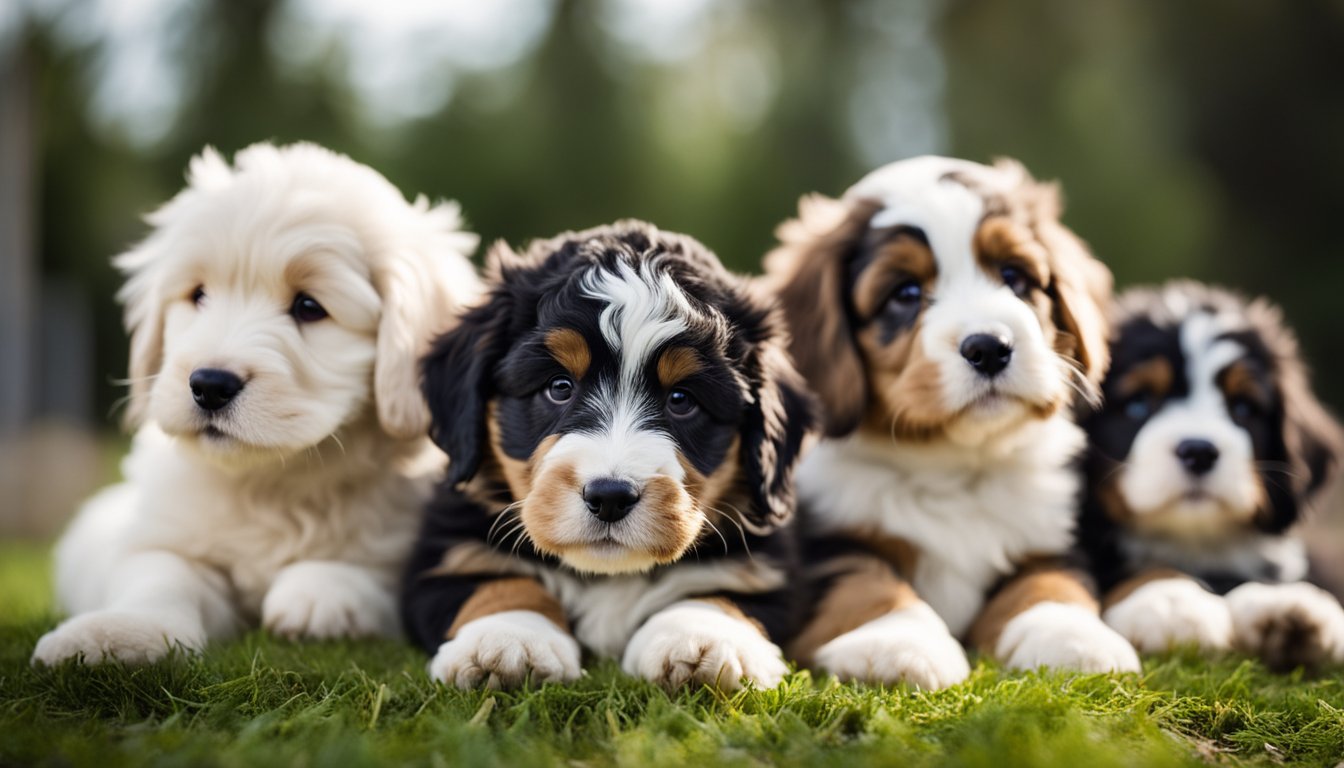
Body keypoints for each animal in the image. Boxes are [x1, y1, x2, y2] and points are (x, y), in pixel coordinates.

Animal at [28, 142, 483, 667]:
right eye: (199, 294)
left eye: (309, 307)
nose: (209, 385)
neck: (272, 482)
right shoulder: (165, 540)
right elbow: (160, 580)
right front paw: (115, 635)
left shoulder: (407, 554)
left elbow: (366, 574)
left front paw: (319, 597)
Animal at [403, 217, 811, 688]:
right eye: (559, 386)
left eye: (681, 399)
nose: (610, 497)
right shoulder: (447, 556)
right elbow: (500, 585)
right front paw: (508, 640)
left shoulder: (761, 570)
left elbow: (719, 593)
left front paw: (702, 640)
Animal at [1080, 283, 1344, 672]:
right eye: (1138, 402)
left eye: (1243, 407)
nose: (1199, 451)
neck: (1195, 542)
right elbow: (1128, 566)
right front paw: (1170, 601)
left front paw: (1286, 605)